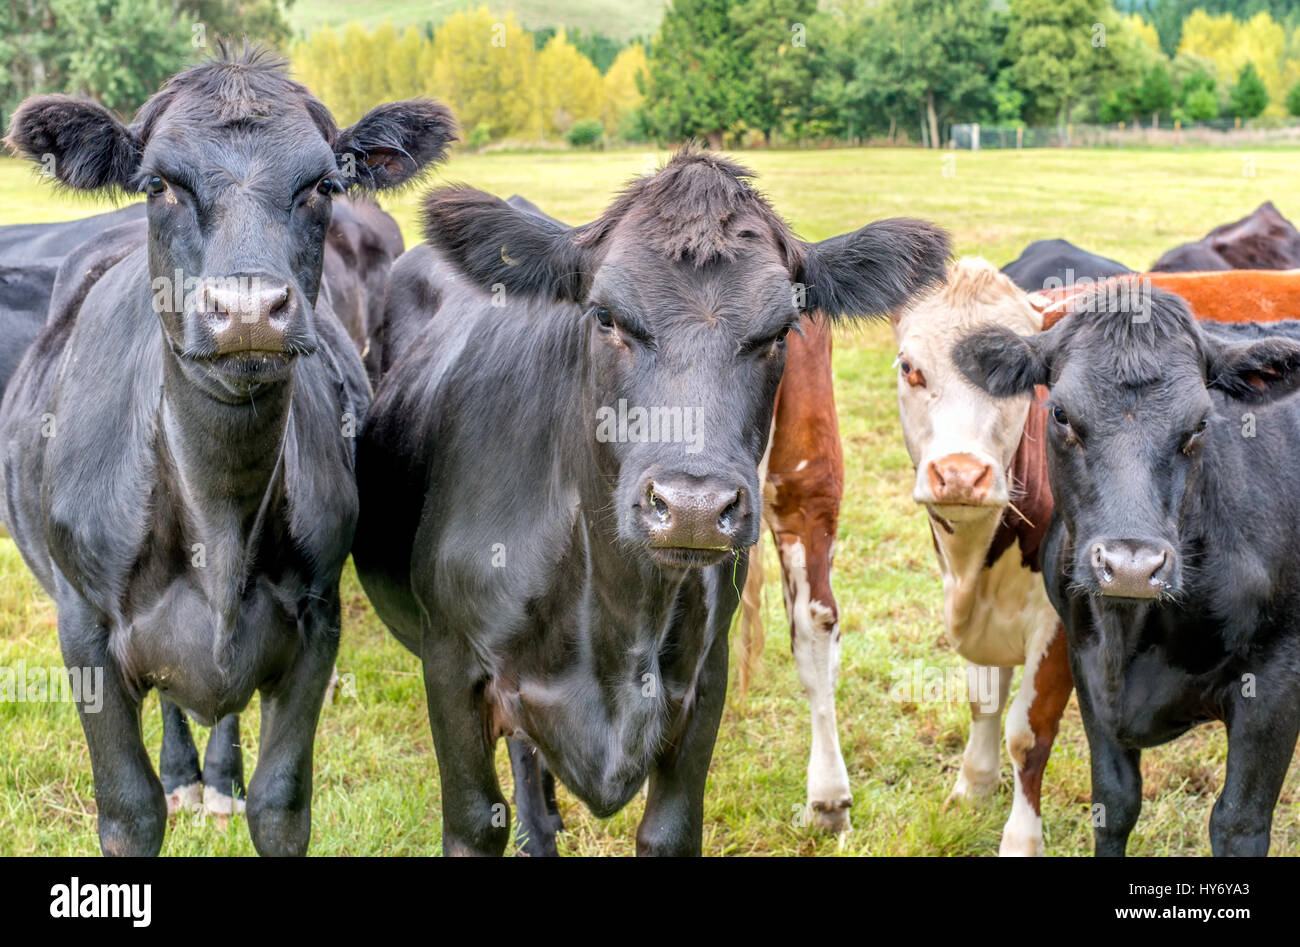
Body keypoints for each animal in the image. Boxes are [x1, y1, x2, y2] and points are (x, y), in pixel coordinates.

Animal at [0, 45, 454, 856]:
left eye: (323, 184)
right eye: (159, 184)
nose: (247, 309)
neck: (216, 519)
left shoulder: (315, 625)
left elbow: (280, 806)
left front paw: (240, 785)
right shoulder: (83, 633)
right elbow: (130, 811)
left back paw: (217, 778)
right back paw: (186, 775)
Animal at [353, 146, 950, 856]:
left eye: (780, 331)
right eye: (605, 316)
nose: (693, 505)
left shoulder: (704, 682)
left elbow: (669, 829)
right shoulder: (450, 670)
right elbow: (474, 820)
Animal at [955, 278, 1300, 855]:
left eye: (1200, 423)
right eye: (1061, 414)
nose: (1132, 566)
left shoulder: (1276, 681)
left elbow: (1238, 823)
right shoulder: (1087, 667)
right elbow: (1114, 805)